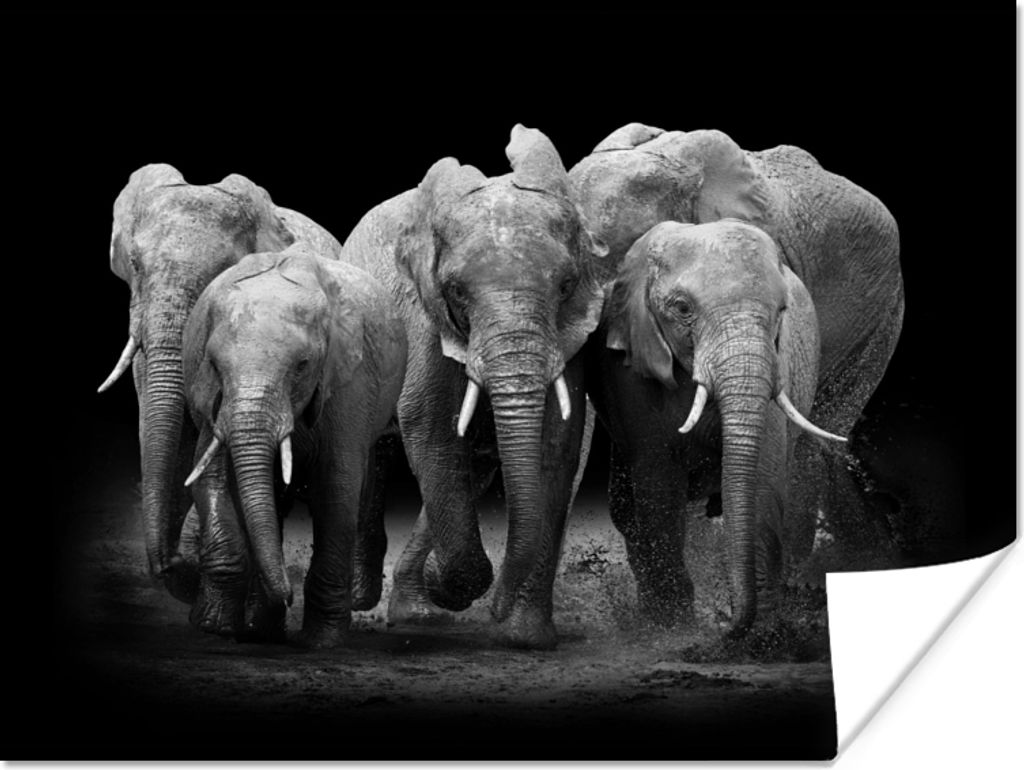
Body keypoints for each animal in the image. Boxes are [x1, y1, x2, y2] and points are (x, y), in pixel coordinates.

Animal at [181, 248, 407, 646]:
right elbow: (212, 477)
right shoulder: (211, 397)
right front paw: (214, 626)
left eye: (302, 365)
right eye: (215, 365)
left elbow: (337, 485)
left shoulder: (349, 380)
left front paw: (323, 641)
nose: (288, 595)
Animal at [339, 124, 608, 649]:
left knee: (473, 467)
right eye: (457, 292)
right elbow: (429, 426)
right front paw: (454, 587)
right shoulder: (422, 316)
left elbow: (558, 444)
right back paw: (362, 597)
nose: (496, 612)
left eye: (566, 286)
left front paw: (526, 637)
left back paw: (419, 612)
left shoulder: (571, 338)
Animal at [585, 219, 844, 634]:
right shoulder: (632, 371)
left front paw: (763, 633)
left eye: (781, 310)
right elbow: (658, 486)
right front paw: (675, 629)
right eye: (682, 308)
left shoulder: (779, 364)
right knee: (626, 510)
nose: (725, 625)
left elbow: (763, 479)